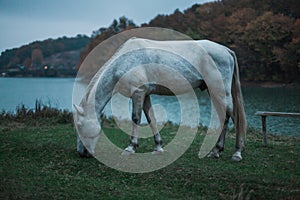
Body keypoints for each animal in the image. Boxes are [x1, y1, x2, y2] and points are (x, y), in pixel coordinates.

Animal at [73, 38, 246, 162]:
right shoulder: (145, 94)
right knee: (225, 116)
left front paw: (130, 148)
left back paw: (236, 153)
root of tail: (226, 50)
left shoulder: (138, 92)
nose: (82, 153)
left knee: (234, 117)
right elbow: (151, 119)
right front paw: (158, 147)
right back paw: (216, 151)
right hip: (214, 92)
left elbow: (135, 119)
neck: (125, 61)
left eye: (80, 126)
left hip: (220, 92)